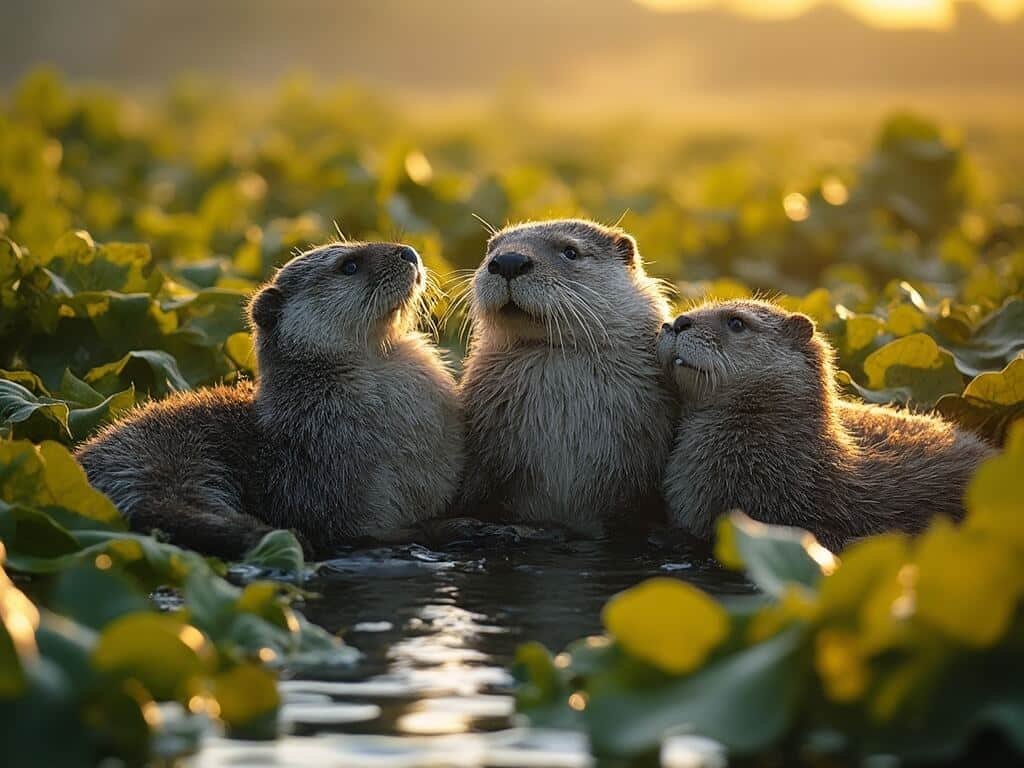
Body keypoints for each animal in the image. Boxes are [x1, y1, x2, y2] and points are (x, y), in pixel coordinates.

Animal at [76, 242, 463, 560]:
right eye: (349, 265)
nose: (408, 252)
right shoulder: (328, 488)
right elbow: (357, 530)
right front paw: (442, 528)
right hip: (164, 463)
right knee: (169, 511)